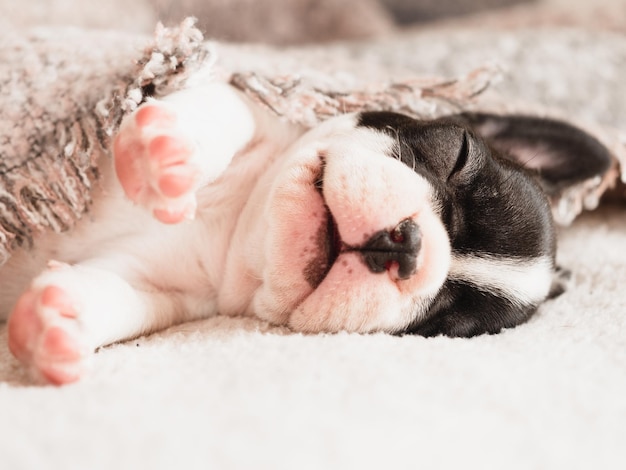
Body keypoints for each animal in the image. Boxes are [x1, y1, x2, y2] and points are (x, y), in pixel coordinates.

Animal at [0, 83, 608, 386]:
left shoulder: (167, 290)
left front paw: (61, 321)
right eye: (458, 155)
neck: (241, 225)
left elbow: (121, 297)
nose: (410, 246)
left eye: (440, 325)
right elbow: (233, 103)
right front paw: (167, 153)